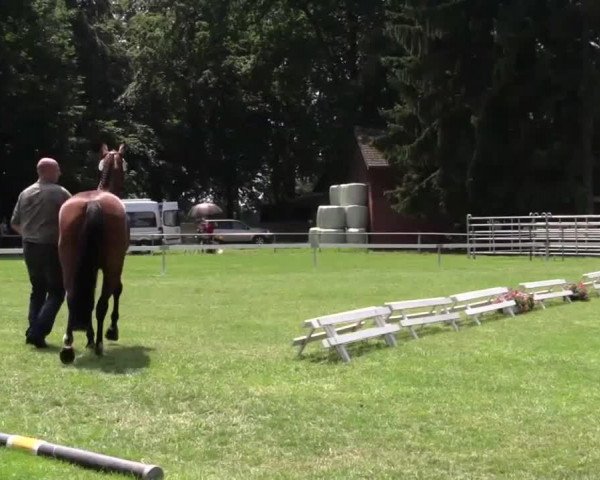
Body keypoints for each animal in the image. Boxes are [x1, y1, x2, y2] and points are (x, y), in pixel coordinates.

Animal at [58, 144, 129, 362]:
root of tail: (93, 203)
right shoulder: (116, 265)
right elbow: (117, 290)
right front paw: (112, 330)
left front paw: (88, 337)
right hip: (111, 266)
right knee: (101, 304)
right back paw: (98, 344)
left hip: (69, 265)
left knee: (72, 299)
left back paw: (68, 346)